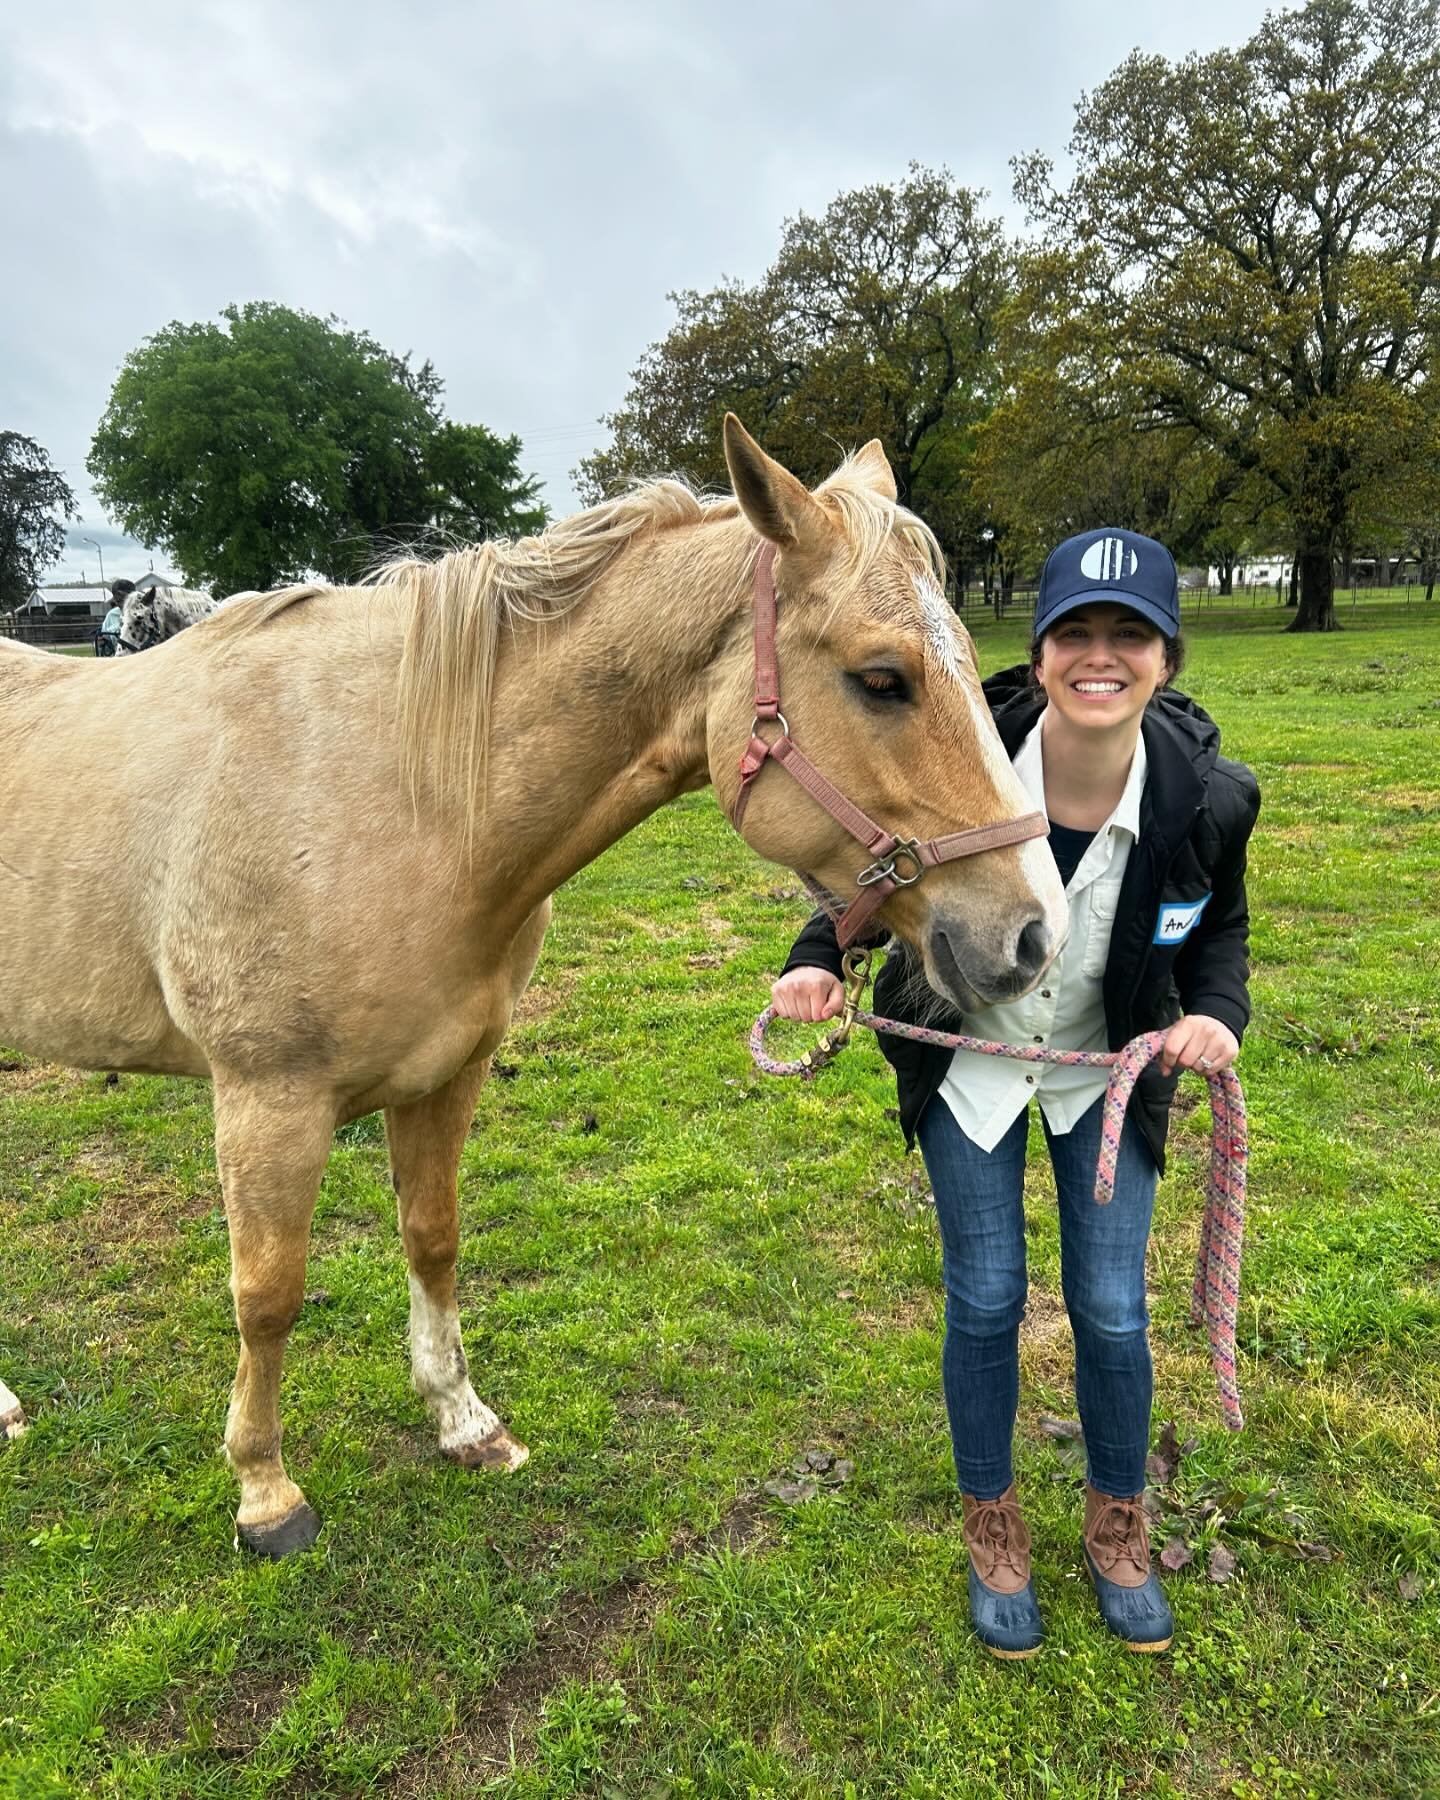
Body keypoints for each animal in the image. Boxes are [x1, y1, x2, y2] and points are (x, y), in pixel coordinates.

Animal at [0, 414, 1058, 1555]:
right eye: (881, 679)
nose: (1033, 933)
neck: (404, 795)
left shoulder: (447, 1073)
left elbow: (433, 1238)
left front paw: (463, 1422)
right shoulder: (265, 1100)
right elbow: (268, 1295)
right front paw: (264, 1490)